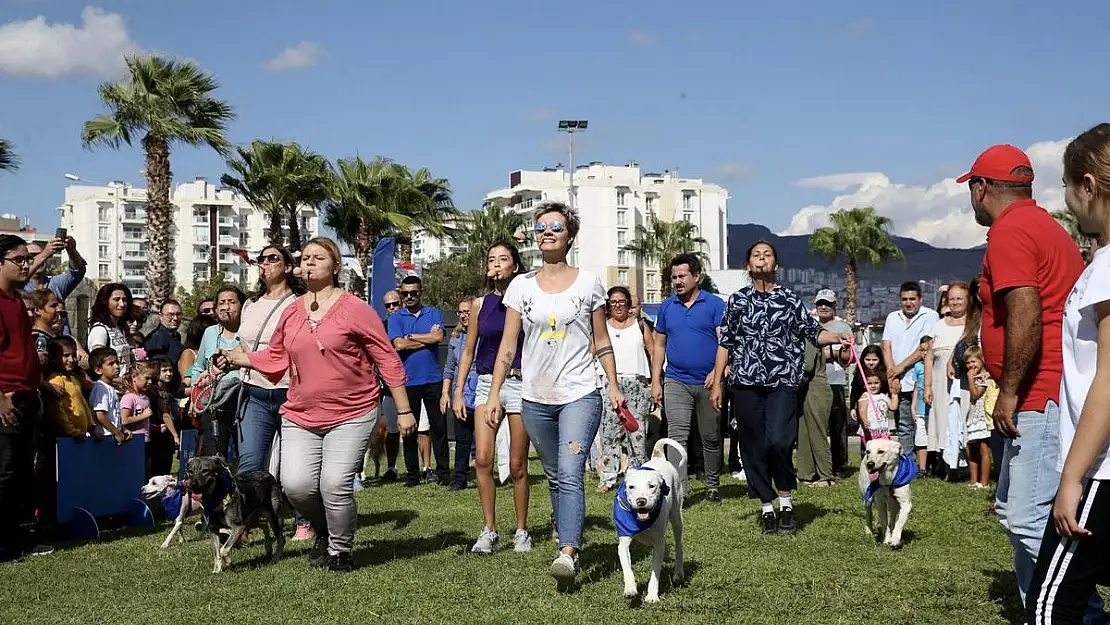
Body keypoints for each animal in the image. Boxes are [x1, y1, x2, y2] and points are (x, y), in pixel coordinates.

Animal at [617, 437, 683, 603]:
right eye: (631, 487)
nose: (641, 501)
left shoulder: (660, 543)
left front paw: (652, 595)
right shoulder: (624, 539)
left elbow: (655, 571)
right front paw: (630, 588)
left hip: (677, 516)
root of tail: (658, 456)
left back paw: (678, 574)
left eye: (652, 486)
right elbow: (627, 566)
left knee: (679, 545)